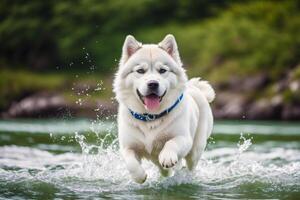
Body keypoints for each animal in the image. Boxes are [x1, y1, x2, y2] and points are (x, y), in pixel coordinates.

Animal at [113, 34, 214, 183]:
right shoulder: (127, 146)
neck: (151, 117)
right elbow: (131, 163)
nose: (153, 84)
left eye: (162, 70)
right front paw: (140, 177)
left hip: (196, 149)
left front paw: (167, 157)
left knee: (190, 166)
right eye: (140, 71)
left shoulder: (184, 138)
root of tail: (195, 88)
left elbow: (171, 143)